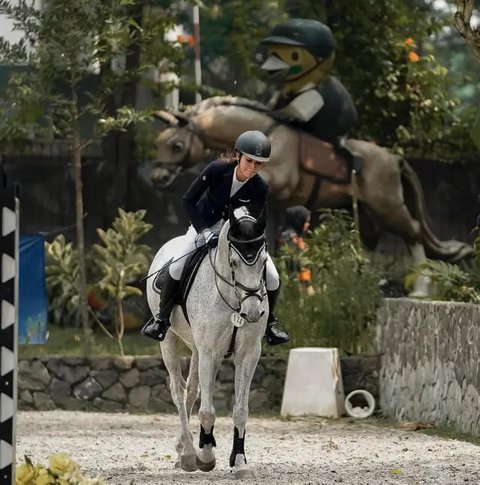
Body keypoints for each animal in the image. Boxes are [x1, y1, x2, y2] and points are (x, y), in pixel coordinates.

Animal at [146, 204, 268, 476]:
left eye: (264, 262)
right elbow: (208, 411)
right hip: (170, 341)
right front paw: (206, 456)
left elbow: (240, 410)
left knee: (192, 390)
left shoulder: (248, 353)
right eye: (234, 262)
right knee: (178, 389)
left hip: (196, 348)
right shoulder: (210, 351)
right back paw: (189, 454)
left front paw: (240, 462)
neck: (233, 298)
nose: (253, 312)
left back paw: (183, 449)